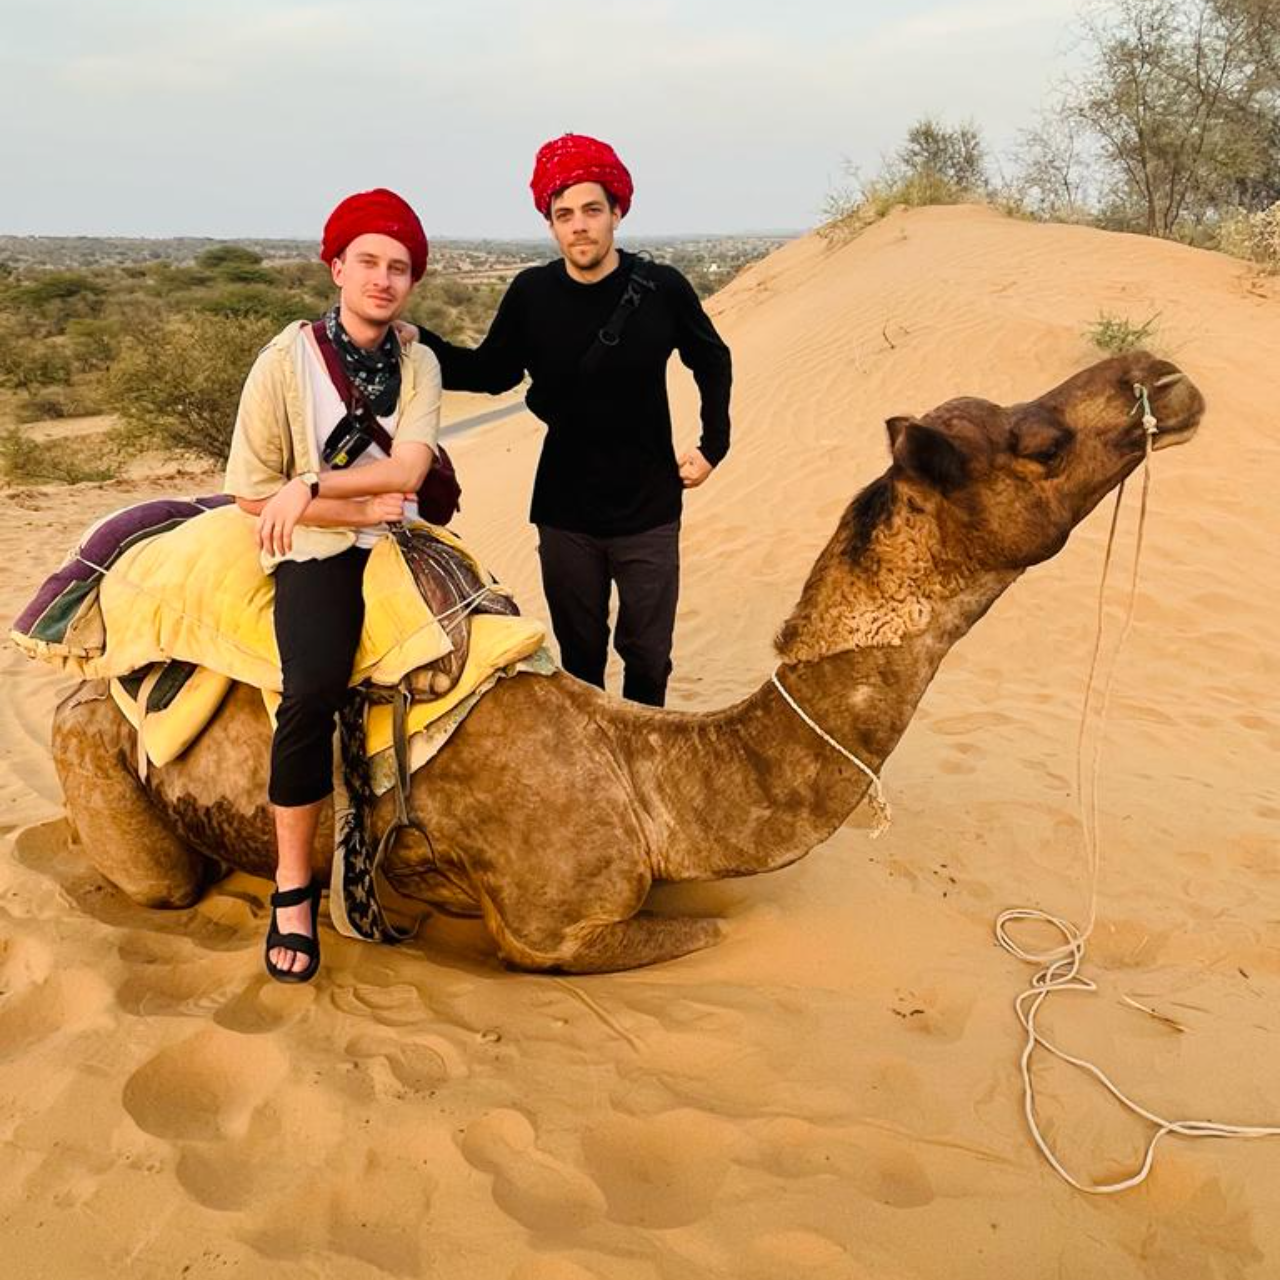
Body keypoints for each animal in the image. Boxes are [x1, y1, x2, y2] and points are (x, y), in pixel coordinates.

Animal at [51, 351, 1205, 973]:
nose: (1163, 377)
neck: (652, 780)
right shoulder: (558, 931)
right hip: (97, 759)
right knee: (158, 878)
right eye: (1041, 443)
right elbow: (698, 937)